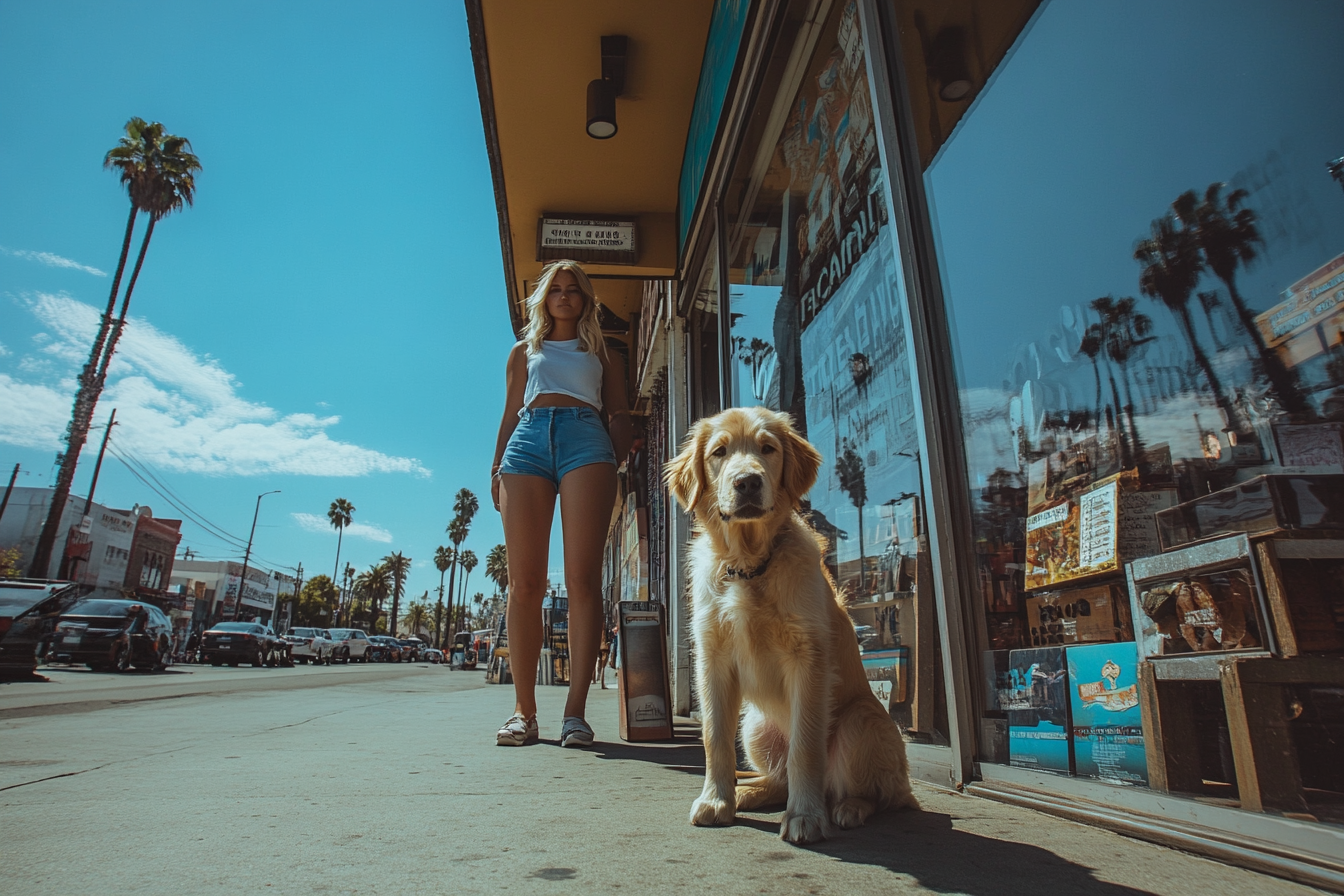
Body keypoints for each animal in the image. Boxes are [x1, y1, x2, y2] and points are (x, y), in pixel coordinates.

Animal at [666, 411, 919, 843]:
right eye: (719, 452)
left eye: (768, 448)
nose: (748, 482)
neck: (749, 564)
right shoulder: (712, 657)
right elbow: (714, 736)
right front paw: (717, 800)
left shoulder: (809, 659)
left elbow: (806, 747)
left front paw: (805, 815)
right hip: (755, 726)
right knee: (778, 779)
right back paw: (747, 792)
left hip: (860, 723)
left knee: (883, 795)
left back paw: (847, 807)